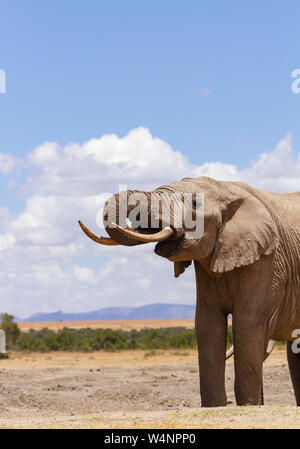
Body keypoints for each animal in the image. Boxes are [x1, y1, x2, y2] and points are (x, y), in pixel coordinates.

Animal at [78, 177, 300, 408]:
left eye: (194, 204)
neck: (227, 187)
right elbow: (206, 325)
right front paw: (214, 407)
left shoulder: (269, 260)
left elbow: (247, 324)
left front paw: (249, 406)